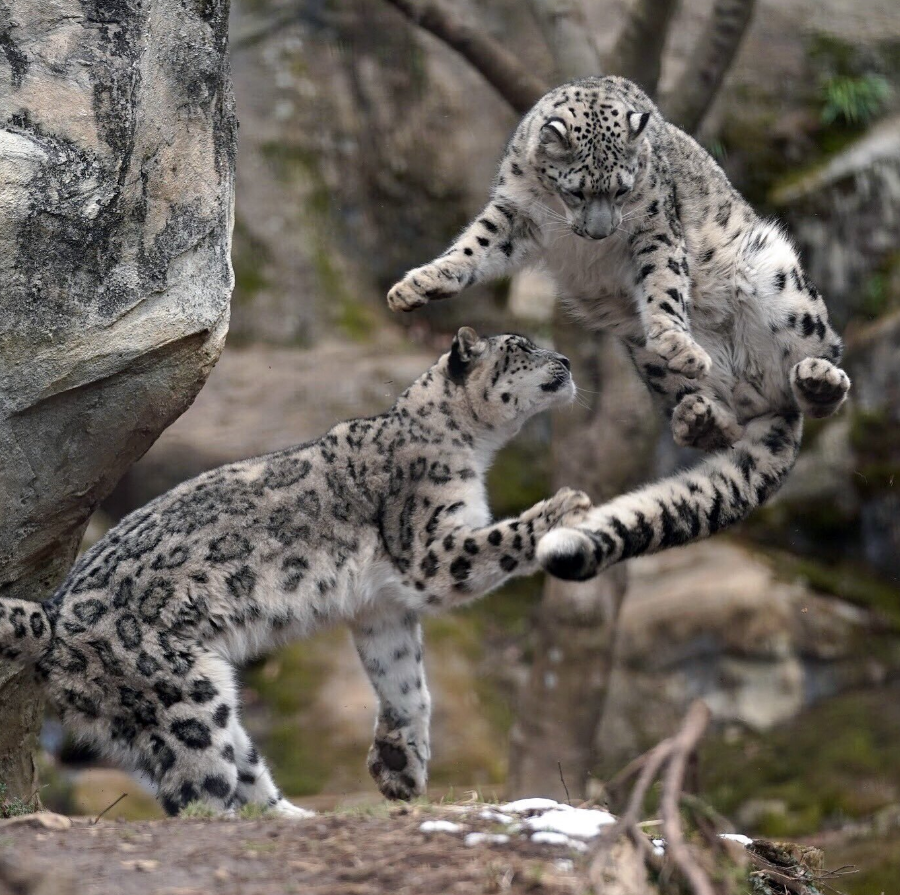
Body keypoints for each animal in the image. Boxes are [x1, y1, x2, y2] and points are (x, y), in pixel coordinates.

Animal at [1, 330, 592, 820]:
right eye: (521, 346)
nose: (566, 360)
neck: (470, 449)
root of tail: (52, 618)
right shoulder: (430, 549)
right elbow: (493, 541)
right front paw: (563, 507)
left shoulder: (382, 608)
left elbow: (406, 683)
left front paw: (400, 767)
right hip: (179, 697)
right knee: (196, 793)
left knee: (243, 771)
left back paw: (295, 815)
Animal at [386, 75, 852, 580]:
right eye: (577, 192)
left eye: (623, 190)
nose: (599, 232)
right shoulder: (512, 213)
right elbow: (474, 246)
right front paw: (415, 287)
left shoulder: (656, 227)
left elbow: (664, 282)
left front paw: (677, 339)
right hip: (647, 360)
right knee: (725, 425)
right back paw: (698, 415)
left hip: (779, 282)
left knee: (817, 371)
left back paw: (815, 381)